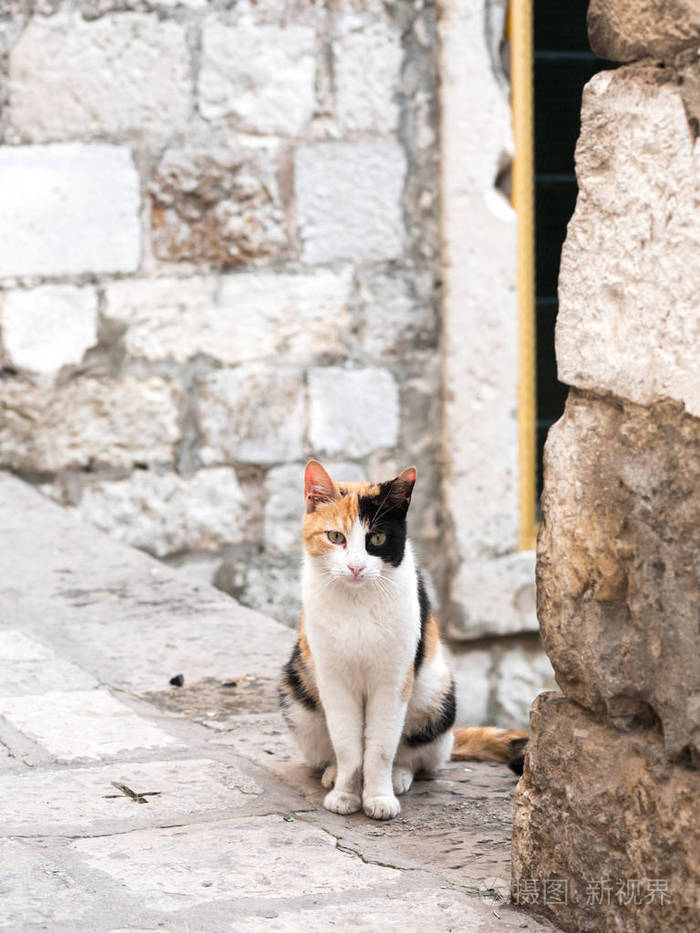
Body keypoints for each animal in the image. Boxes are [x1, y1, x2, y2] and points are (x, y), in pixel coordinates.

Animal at [278, 462, 524, 820]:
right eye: (335, 537)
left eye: (377, 539)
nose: (355, 567)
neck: (357, 603)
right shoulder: (333, 678)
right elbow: (348, 745)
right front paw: (345, 794)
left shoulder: (393, 680)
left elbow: (380, 747)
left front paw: (379, 797)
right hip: (298, 695)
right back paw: (333, 773)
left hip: (435, 696)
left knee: (416, 756)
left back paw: (398, 776)